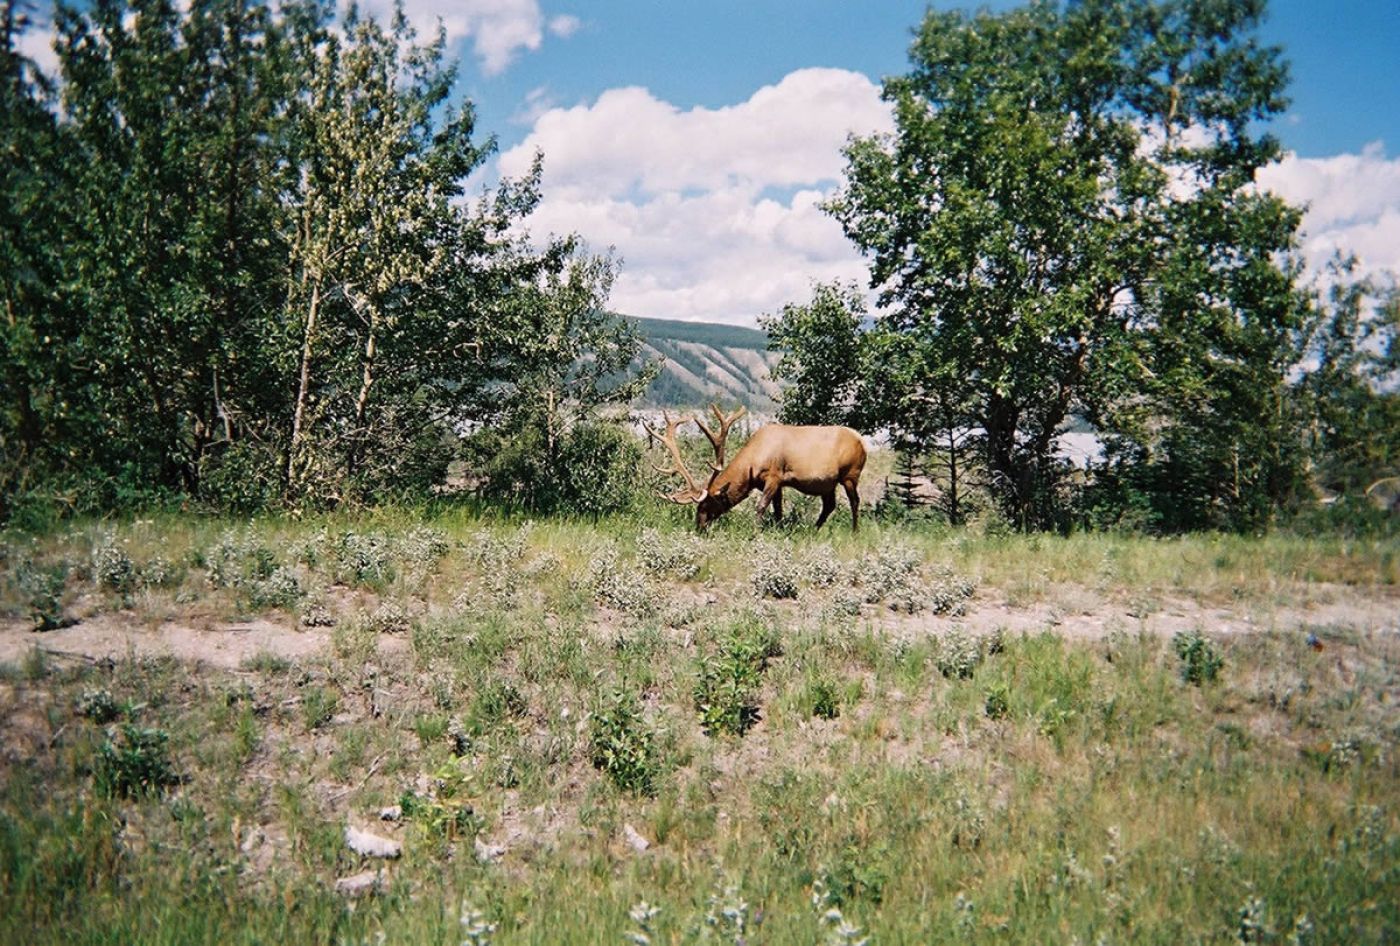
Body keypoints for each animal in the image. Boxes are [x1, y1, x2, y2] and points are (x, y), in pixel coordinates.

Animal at [644, 403, 862, 528]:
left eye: (707, 504)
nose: (699, 527)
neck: (751, 468)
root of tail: (862, 440)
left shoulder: (774, 476)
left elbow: (761, 506)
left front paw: (755, 532)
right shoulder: (777, 483)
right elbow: (778, 510)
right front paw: (778, 530)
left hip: (850, 475)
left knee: (855, 501)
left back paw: (854, 531)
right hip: (828, 483)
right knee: (829, 505)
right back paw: (814, 530)